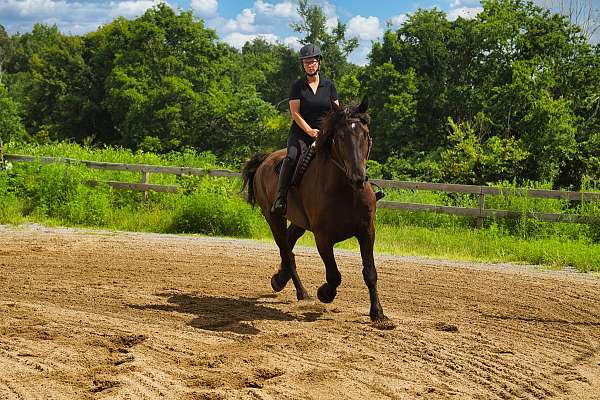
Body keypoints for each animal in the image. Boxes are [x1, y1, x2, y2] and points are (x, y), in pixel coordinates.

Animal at [241, 97, 396, 328]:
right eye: (340, 137)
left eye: (365, 135)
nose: (358, 177)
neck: (346, 190)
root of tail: (265, 160)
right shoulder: (323, 238)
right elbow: (334, 275)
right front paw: (324, 293)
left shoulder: (367, 231)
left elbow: (370, 273)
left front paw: (378, 314)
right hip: (273, 218)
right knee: (287, 252)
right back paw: (301, 292)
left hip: (299, 222)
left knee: (289, 244)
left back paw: (279, 279)